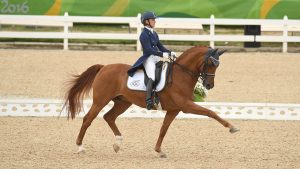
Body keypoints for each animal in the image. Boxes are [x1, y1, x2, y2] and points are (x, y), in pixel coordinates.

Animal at [62, 45, 239, 158]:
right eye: (210, 63)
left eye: (217, 65)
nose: (209, 85)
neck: (181, 74)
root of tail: (104, 67)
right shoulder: (186, 106)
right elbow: (210, 112)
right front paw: (232, 127)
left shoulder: (174, 109)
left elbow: (163, 129)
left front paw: (159, 151)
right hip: (101, 101)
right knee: (88, 119)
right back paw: (80, 147)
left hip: (123, 102)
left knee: (109, 117)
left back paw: (117, 144)